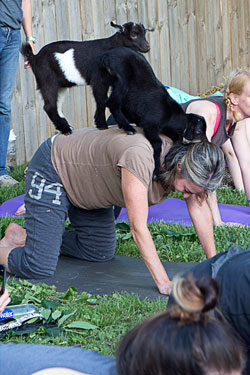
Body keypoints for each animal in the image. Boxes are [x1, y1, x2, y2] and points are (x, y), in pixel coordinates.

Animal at [20, 21, 152, 134]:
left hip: (60, 86)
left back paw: (67, 127)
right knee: (49, 106)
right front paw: (102, 125)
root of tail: (35, 57)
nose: (147, 47)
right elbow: (101, 100)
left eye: (144, 33)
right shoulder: (99, 79)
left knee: (57, 105)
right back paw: (65, 129)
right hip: (47, 81)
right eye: (133, 34)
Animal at [91, 47, 208, 180]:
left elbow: (176, 140)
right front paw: (156, 172)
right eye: (198, 131)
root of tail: (106, 55)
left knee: (101, 100)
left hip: (103, 79)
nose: (207, 141)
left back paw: (102, 124)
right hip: (122, 79)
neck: (170, 114)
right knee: (112, 103)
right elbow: (158, 143)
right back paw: (128, 128)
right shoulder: (150, 125)